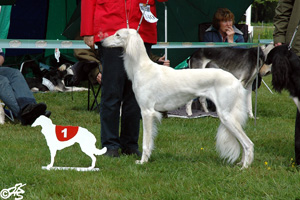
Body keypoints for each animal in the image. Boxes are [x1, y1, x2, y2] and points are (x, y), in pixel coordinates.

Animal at [102, 28, 254, 169]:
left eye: (117, 35)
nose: (102, 42)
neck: (142, 67)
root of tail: (236, 81)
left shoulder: (147, 112)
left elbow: (146, 142)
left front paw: (143, 161)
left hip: (226, 116)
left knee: (248, 143)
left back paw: (245, 167)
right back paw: (242, 163)